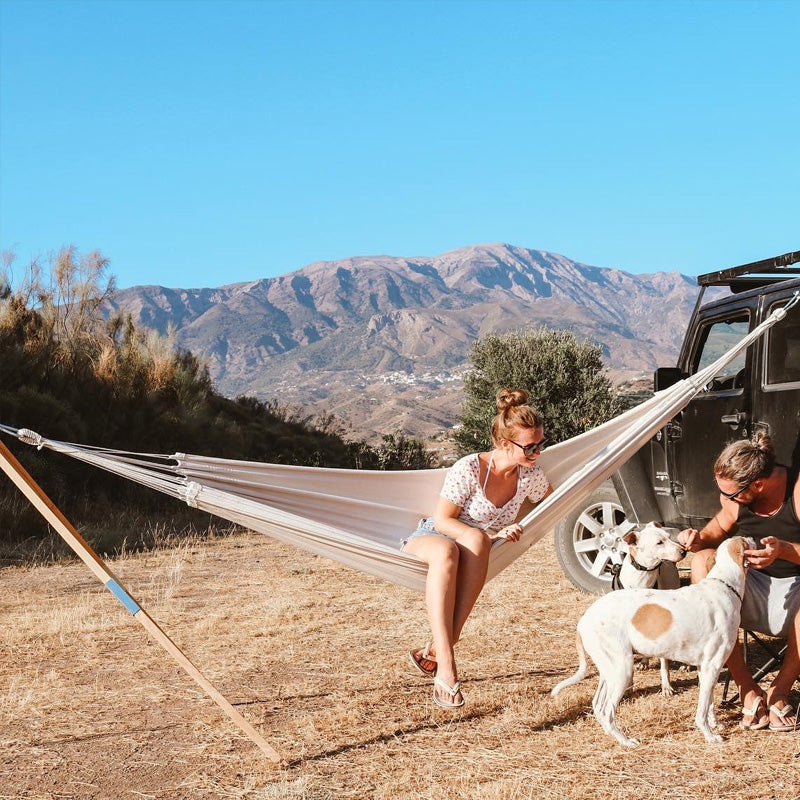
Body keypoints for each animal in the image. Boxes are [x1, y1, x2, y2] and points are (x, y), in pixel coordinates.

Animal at [552, 536, 752, 748]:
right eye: (745, 541)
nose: (752, 538)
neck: (725, 585)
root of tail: (583, 621)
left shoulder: (705, 668)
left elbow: (710, 703)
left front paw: (715, 724)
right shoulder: (711, 666)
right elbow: (702, 711)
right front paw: (709, 735)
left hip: (609, 671)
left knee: (598, 706)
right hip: (622, 671)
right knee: (607, 711)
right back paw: (626, 741)